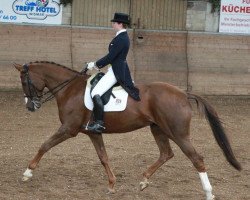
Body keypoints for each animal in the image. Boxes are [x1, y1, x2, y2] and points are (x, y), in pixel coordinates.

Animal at [13, 61, 240, 199]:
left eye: (24, 81)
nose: (30, 106)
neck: (69, 90)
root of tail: (183, 94)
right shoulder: (93, 132)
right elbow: (103, 157)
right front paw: (112, 184)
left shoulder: (69, 129)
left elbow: (45, 145)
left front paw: (27, 173)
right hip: (158, 129)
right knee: (166, 153)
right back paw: (143, 181)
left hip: (178, 133)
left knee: (197, 159)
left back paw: (208, 193)